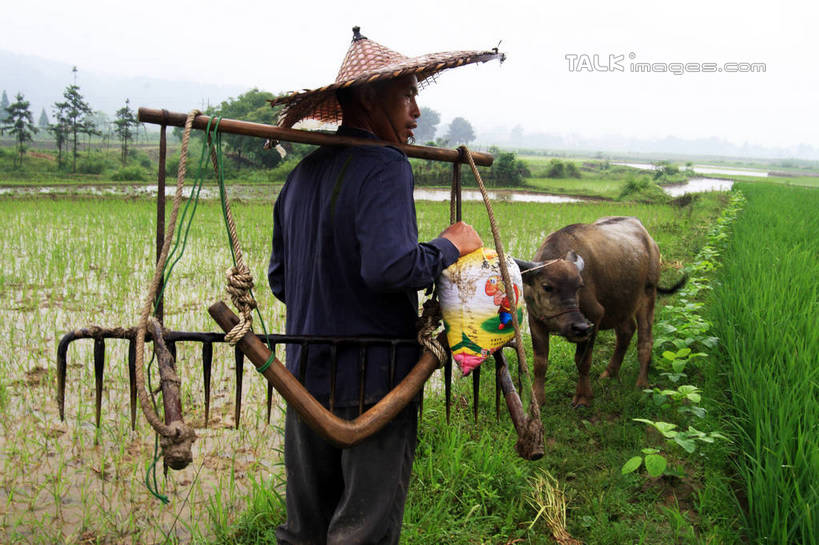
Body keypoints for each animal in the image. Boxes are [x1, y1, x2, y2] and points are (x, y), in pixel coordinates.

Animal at [520, 215, 684, 406]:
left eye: (579, 286)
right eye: (547, 286)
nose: (580, 327)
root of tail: (649, 240)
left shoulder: (594, 317)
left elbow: (583, 360)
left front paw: (583, 396)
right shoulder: (535, 320)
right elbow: (540, 362)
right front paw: (537, 399)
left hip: (648, 294)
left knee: (645, 340)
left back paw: (642, 384)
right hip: (620, 304)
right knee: (626, 331)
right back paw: (610, 372)